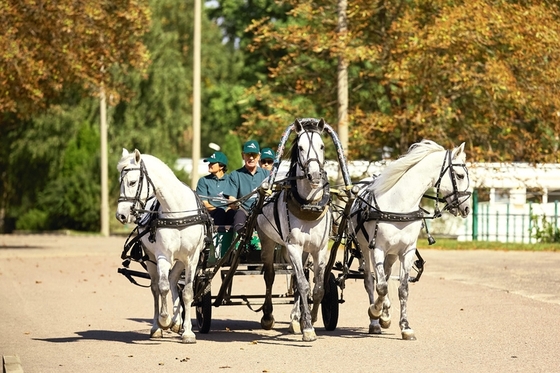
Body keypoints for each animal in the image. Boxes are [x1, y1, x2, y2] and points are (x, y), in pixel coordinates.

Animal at [116, 148, 210, 342]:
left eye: (132, 182)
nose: (121, 215)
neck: (177, 212)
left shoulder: (192, 258)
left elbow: (187, 292)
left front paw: (187, 332)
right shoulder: (162, 256)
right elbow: (163, 287)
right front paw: (164, 319)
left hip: (180, 260)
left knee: (175, 281)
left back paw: (177, 322)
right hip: (151, 259)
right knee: (155, 288)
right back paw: (157, 327)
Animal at [258, 117, 332, 342]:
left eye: (322, 146)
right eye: (300, 147)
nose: (314, 175)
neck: (308, 205)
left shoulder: (319, 249)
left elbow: (317, 287)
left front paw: (311, 318)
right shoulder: (293, 246)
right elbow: (302, 283)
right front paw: (308, 328)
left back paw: (295, 318)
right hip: (268, 241)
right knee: (270, 275)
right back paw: (268, 316)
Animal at [352, 140, 470, 340]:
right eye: (460, 175)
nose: (467, 208)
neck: (399, 205)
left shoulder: (406, 251)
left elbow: (402, 289)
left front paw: (404, 326)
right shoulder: (377, 248)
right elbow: (381, 287)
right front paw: (375, 311)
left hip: (391, 255)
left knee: (385, 275)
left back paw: (385, 313)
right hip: (365, 249)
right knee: (370, 280)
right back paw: (375, 321)